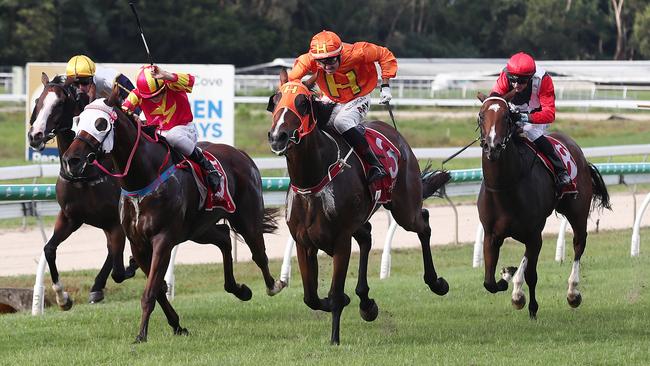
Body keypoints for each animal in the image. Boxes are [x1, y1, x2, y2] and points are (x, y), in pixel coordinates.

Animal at [26, 73, 137, 308]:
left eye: (59, 103)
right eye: (38, 100)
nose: (35, 136)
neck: (84, 173)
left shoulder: (115, 222)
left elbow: (117, 266)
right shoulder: (71, 217)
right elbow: (49, 249)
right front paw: (62, 297)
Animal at [60, 88, 284, 344]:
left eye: (100, 123)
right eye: (78, 122)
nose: (71, 160)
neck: (142, 179)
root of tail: (241, 153)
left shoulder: (163, 240)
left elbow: (150, 291)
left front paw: (141, 335)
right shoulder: (138, 244)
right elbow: (157, 289)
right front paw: (177, 325)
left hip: (246, 217)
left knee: (259, 253)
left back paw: (274, 285)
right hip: (198, 229)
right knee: (224, 237)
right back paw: (239, 289)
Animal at [266, 70, 448, 344]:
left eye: (302, 103)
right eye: (275, 100)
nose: (278, 136)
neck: (312, 181)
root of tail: (394, 132)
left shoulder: (341, 240)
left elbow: (334, 293)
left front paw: (334, 338)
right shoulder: (303, 242)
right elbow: (311, 297)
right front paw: (347, 300)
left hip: (405, 208)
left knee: (423, 222)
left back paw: (436, 282)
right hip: (361, 220)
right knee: (367, 236)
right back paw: (366, 302)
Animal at [476, 91, 608, 318]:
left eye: (506, 117)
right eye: (481, 116)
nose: (492, 147)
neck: (505, 188)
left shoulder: (534, 234)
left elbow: (530, 274)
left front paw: (526, 303)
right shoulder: (491, 235)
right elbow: (489, 282)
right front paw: (507, 276)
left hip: (577, 211)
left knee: (579, 243)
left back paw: (573, 292)